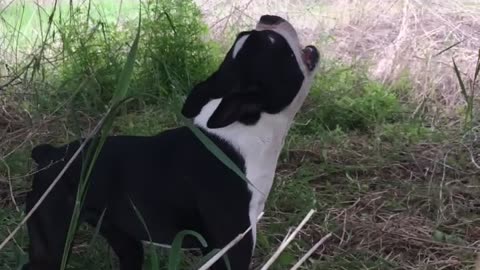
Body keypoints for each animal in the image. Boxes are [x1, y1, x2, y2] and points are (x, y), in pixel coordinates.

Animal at [24, 15, 320, 270]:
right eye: (274, 43)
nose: (269, 17)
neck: (247, 130)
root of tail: (49, 154)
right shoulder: (233, 247)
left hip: (121, 235)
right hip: (54, 240)